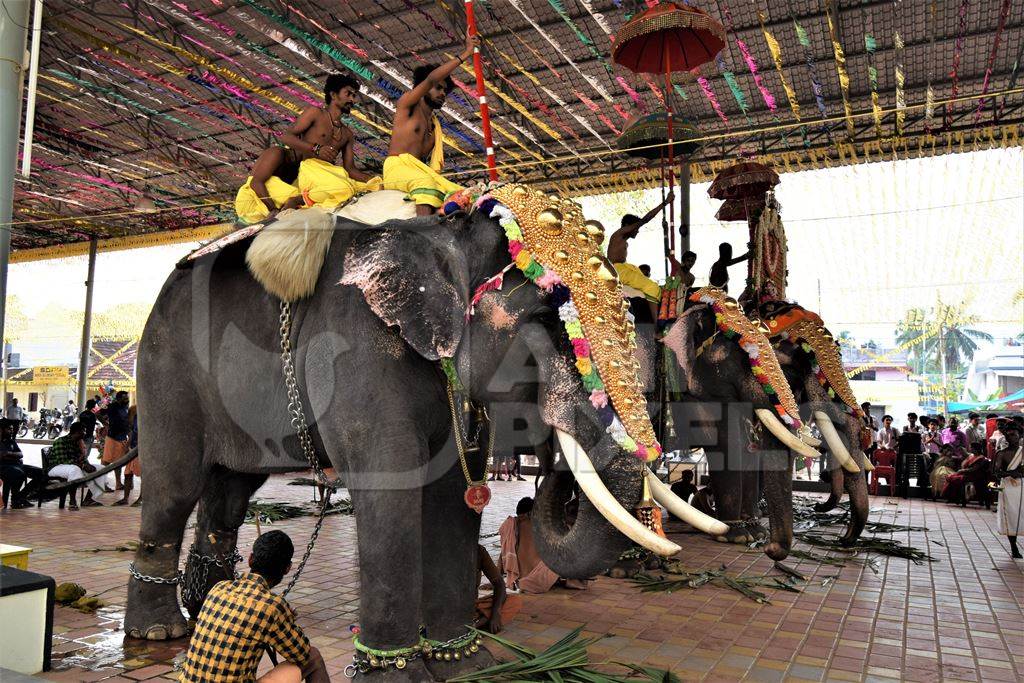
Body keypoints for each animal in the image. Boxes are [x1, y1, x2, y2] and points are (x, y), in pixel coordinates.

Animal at [123, 184, 712, 679]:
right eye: (549, 319)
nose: (553, 474)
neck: (445, 235)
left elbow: (452, 493)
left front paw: (465, 667)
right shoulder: (357, 347)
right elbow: (392, 491)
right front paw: (397, 677)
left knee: (230, 488)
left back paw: (202, 606)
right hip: (164, 367)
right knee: (175, 486)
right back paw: (161, 632)